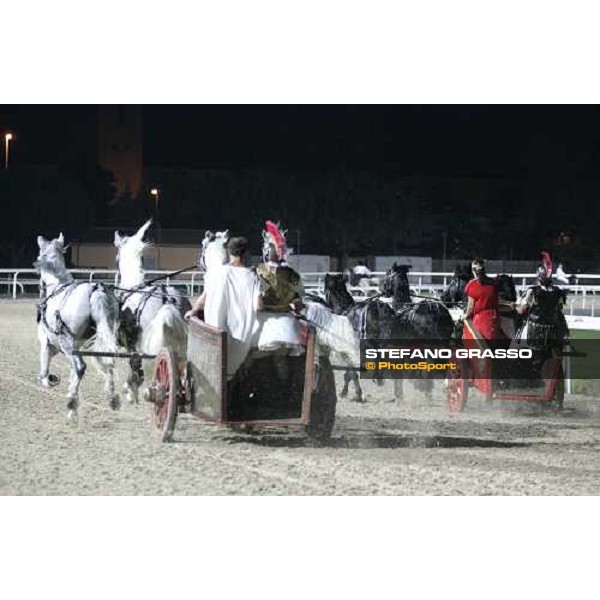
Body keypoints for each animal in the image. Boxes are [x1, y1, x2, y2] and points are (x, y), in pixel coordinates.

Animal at [35, 232, 120, 420]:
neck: (57, 286)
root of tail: (96, 290)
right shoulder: (73, 346)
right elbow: (73, 373)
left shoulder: (48, 343)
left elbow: (44, 372)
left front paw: (51, 380)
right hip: (101, 340)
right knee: (107, 364)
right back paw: (111, 399)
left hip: (67, 344)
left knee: (80, 366)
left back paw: (72, 408)